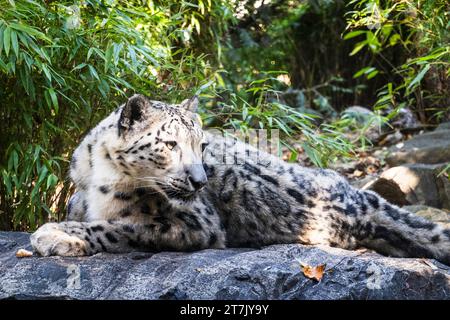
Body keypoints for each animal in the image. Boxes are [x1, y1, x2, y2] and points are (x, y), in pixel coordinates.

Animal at [30, 94, 450, 264]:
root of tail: (355, 196)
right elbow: (80, 208)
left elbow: (119, 227)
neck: (101, 176)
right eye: (170, 144)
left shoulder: (194, 223)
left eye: (200, 144)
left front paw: (54, 235)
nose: (199, 181)